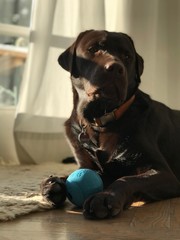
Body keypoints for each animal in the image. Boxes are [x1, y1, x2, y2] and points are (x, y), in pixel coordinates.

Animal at [40, 30, 180, 219]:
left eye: (127, 56)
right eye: (93, 49)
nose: (115, 67)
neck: (99, 120)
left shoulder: (165, 174)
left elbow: (128, 178)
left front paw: (105, 197)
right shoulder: (90, 165)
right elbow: (79, 173)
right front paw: (55, 182)